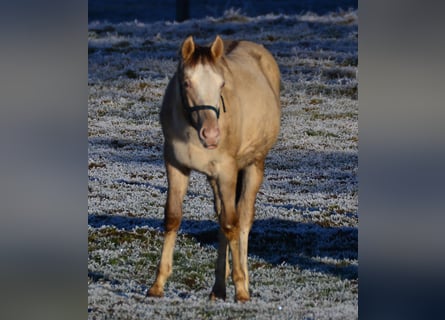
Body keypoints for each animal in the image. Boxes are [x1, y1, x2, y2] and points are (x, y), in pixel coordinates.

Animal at [149, 35, 280, 302]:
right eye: (187, 82)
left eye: (221, 84)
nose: (211, 135)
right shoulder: (175, 166)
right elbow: (173, 217)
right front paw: (157, 284)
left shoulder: (227, 171)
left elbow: (232, 223)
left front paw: (241, 289)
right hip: (214, 179)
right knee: (221, 217)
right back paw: (218, 288)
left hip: (254, 165)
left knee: (242, 219)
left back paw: (243, 281)